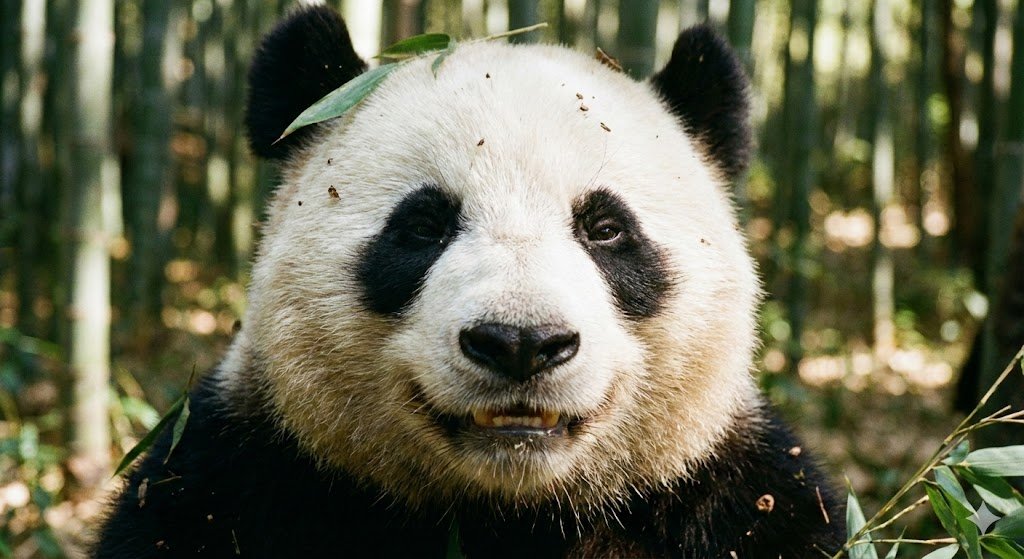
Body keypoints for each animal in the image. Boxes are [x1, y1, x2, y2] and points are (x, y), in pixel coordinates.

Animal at [96, 6, 845, 558]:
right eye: (424, 225)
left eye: (606, 229)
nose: (521, 343)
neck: (506, 511)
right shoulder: (239, 480)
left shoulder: (732, 500)